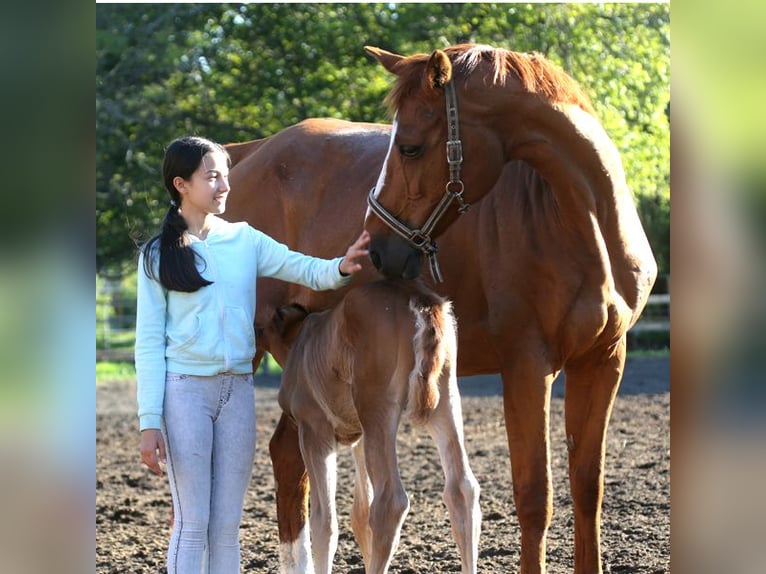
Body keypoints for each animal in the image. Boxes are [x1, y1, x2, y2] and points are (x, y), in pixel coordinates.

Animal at [261, 279, 480, 573]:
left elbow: (324, 519)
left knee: (389, 502)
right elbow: (361, 515)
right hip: (445, 399)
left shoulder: (314, 429)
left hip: (377, 407)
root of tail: (417, 298)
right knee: (462, 488)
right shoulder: (359, 433)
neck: (301, 340)